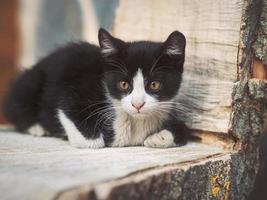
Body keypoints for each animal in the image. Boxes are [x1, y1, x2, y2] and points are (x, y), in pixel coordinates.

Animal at [3, 28, 193, 148]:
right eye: (124, 84)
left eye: (154, 85)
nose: (137, 104)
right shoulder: (72, 94)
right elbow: (90, 138)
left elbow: (185, 129)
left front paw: (159, 137)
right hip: (29, 84)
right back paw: (38, 127)